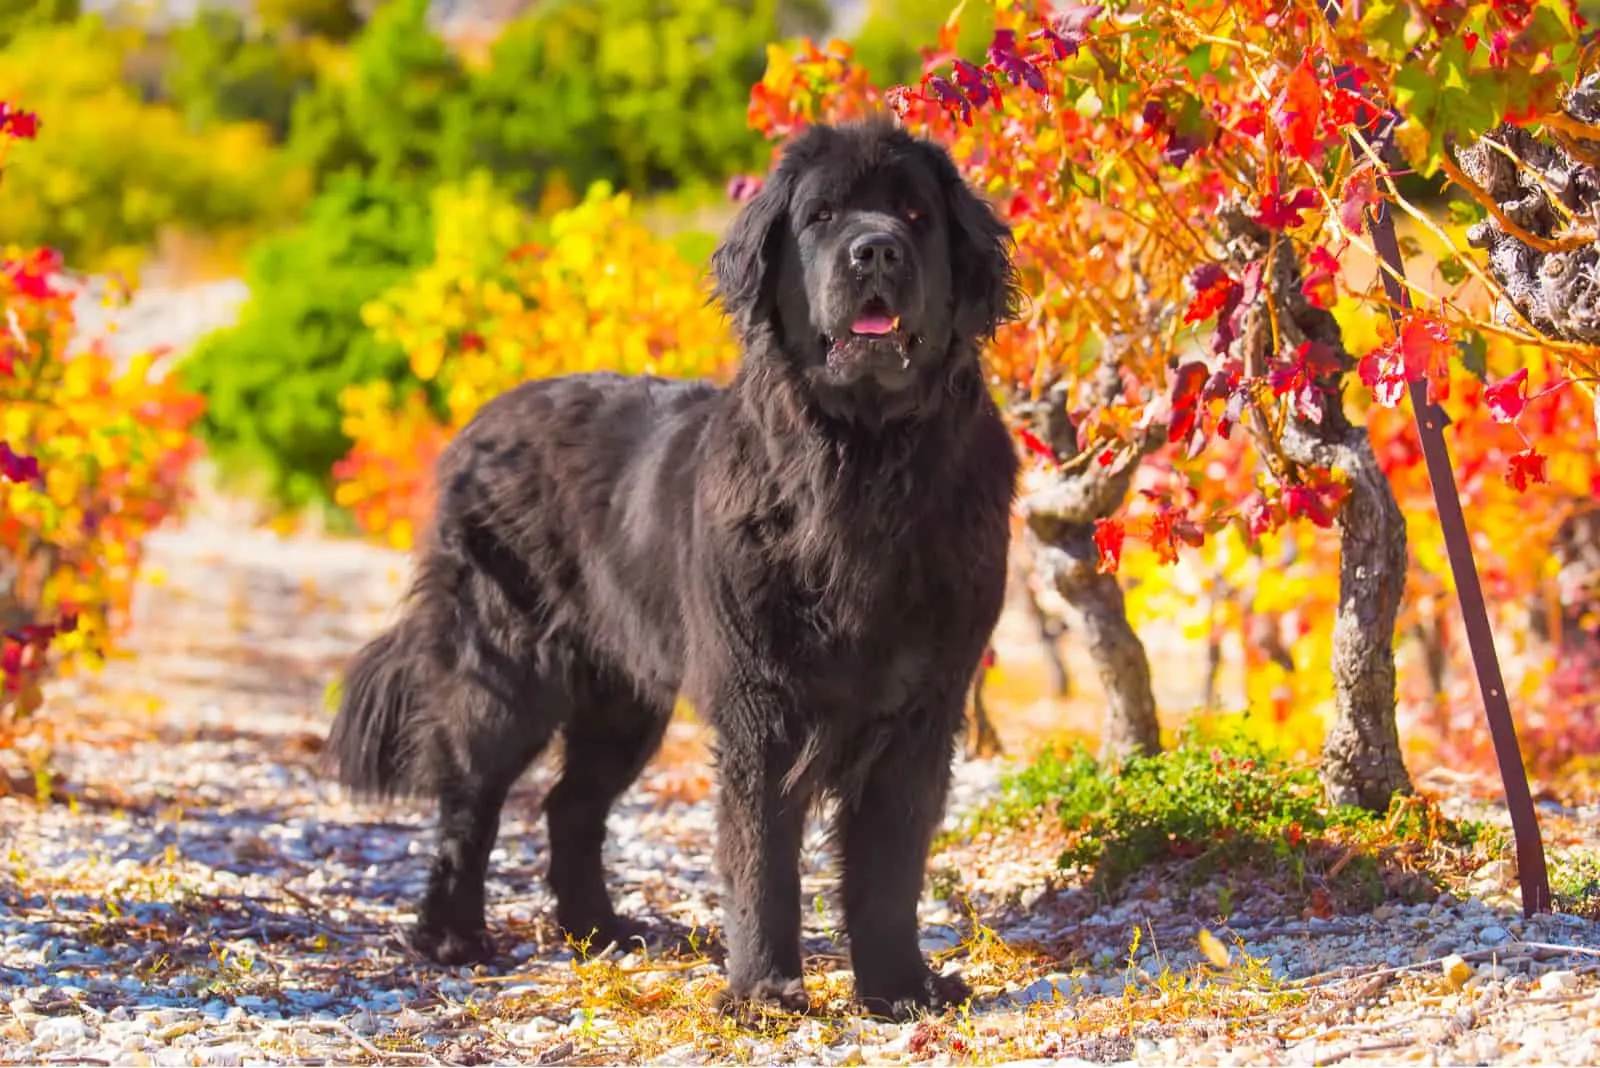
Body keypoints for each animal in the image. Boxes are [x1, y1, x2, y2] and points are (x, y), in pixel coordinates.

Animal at [329, 119, 1017, 1016]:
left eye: (914, 215)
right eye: (823, 216)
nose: (875, 251)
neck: (859, 467)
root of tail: (480, 422)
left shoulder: (921, 706)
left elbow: (891, 863)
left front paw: (900, 988)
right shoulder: (761, 703)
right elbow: (761, 857)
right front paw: (765, 993)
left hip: (623, 695)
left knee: (570, 805)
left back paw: (599, 931)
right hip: (502, 666)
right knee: (469, 800)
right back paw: (451, 936)